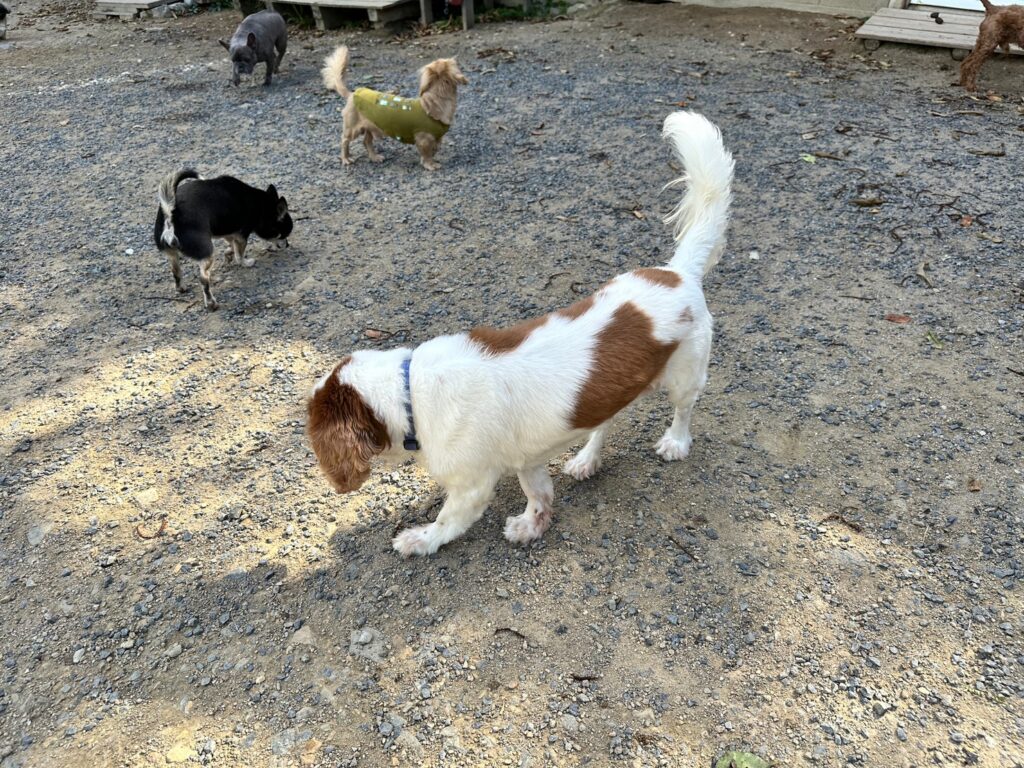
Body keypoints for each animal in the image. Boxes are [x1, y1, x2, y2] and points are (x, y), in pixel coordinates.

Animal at [153, 169, 293, 311]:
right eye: (284, 234)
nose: (287, 245)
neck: (261, 206)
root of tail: (170, 214)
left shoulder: (229, 233)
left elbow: (231, 247)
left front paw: (228, 255)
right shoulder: (242, 236)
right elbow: (239, 255)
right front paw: (245, 263)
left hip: (172, 255)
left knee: (176, 271)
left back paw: (181, 288)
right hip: (207, 254)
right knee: (204, 280)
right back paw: (211, 303)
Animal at [307, 111, 733, 556]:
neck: (410, 393)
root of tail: (679, 271)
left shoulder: (471, 486)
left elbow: (447, 521)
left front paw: (418, 540)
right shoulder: (526, 459)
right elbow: (539, 494)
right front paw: (532, 525)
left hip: (685, 375)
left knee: (684, 409)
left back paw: (676, 443)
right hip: (613, 388)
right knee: (604, 421)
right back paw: (586, 459)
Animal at [321, 45, 468, 171]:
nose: (458, 59)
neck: (435, 103)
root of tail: (352, 94)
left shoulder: (436, 138)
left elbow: (434, 149)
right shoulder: (423, 139)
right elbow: (426, 154)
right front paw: (430, 164)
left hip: (370, 126)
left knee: (366, 141)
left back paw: (374, 157)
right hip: (352, 128)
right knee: (344, 141)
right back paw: (346, 159)